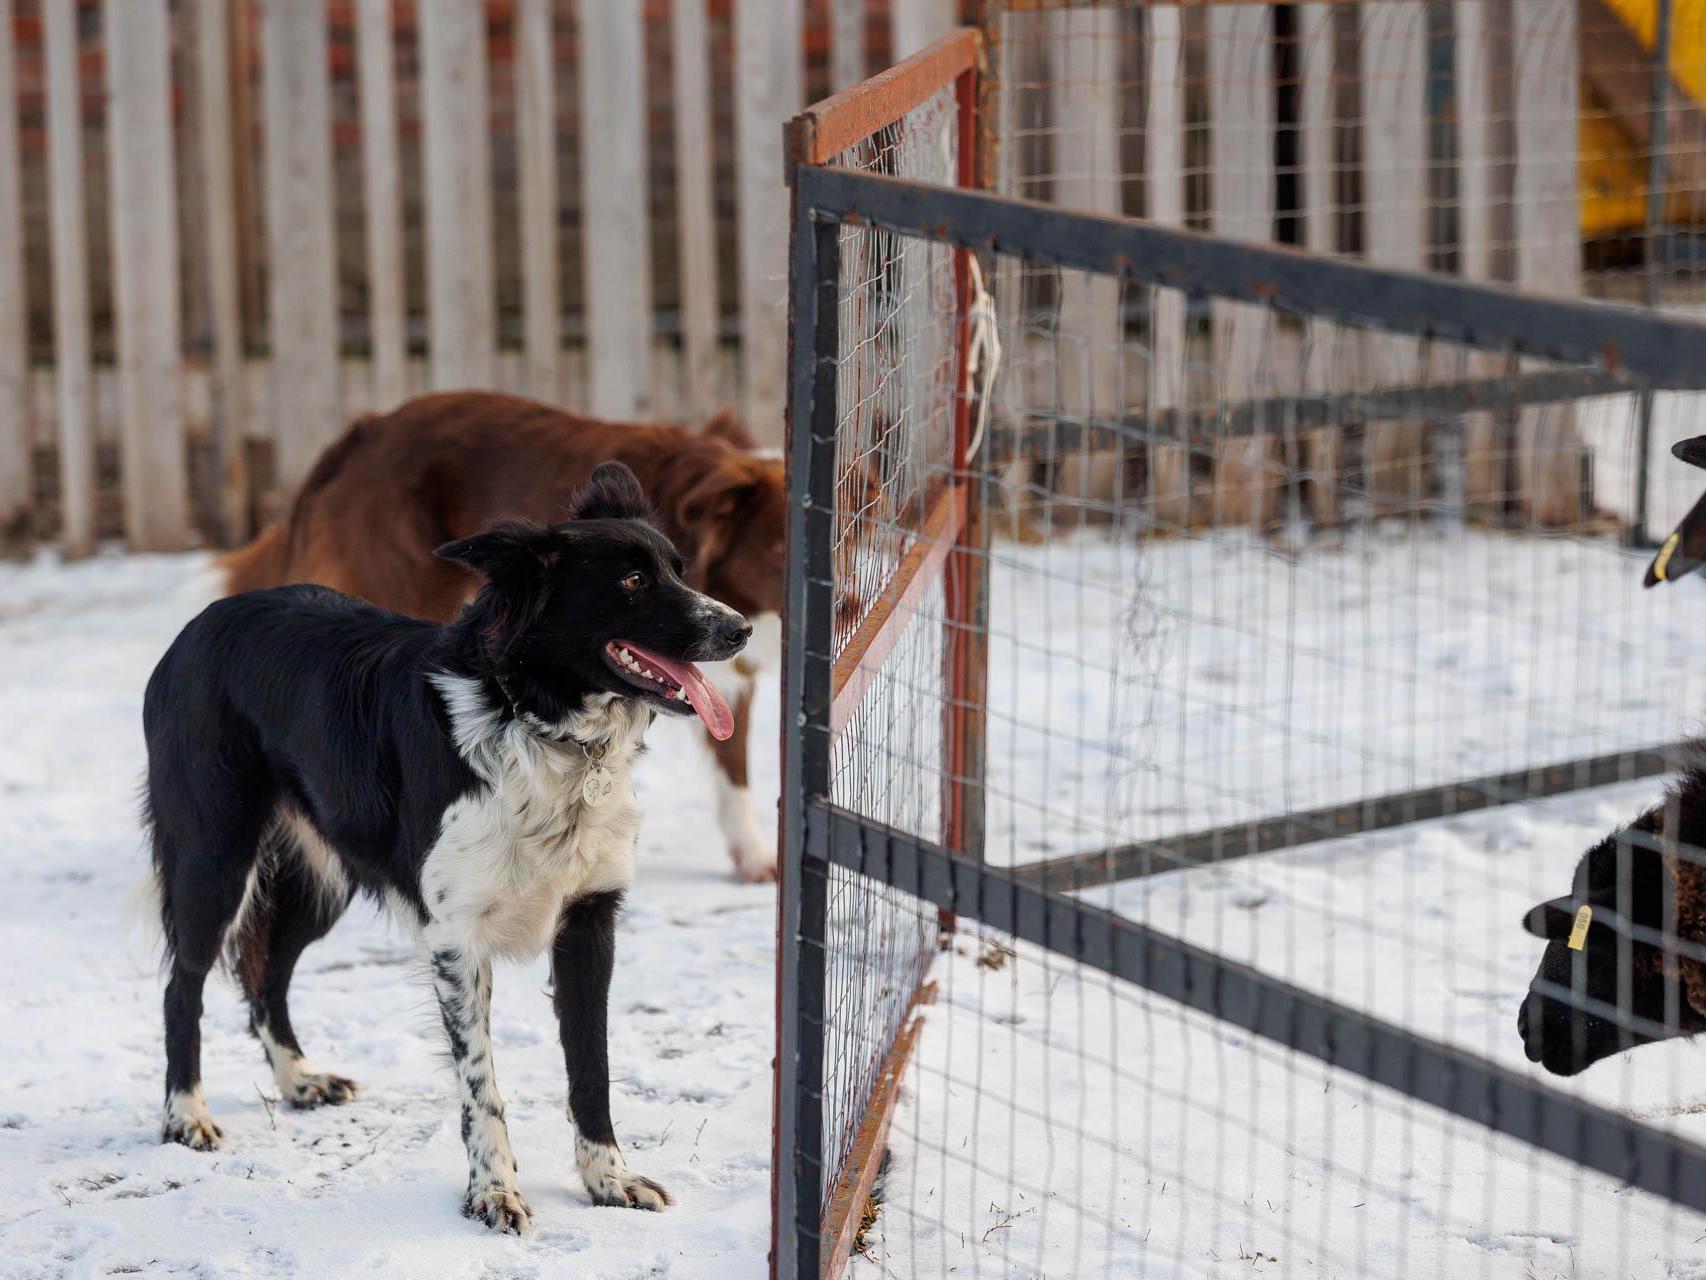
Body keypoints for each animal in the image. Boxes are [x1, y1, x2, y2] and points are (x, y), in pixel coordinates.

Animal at [144, 462, 750, 1232]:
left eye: (678, 569)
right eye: (633, 581)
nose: (741, 628)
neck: (535, 719)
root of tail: (200, 625)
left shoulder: (589, 921)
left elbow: (592, 1068)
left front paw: (608, 1180)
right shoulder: (456, 940)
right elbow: (481, 1084)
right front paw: (493, 1192)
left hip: (322, 880)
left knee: (266, 974)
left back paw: (299, 1079)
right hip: (213, 861)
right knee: (183, 984)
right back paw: (184, 1114)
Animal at [222, 391, 786, 881]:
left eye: (677, 570)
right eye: (632, 581)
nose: (739, 631)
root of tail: (362, 432)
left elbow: (732, 758)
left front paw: (753, 854)